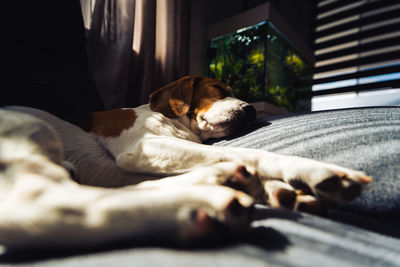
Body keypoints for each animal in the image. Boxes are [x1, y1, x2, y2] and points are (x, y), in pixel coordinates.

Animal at [0, 76, 372, 251]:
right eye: (218, 89)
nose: (252, 111)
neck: (173, 123)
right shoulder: (144, 148)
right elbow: (250, 153)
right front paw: (313, 172)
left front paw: (280, 190)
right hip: (32, 129)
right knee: (49, 204)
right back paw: (209, 200)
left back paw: (222, 181)